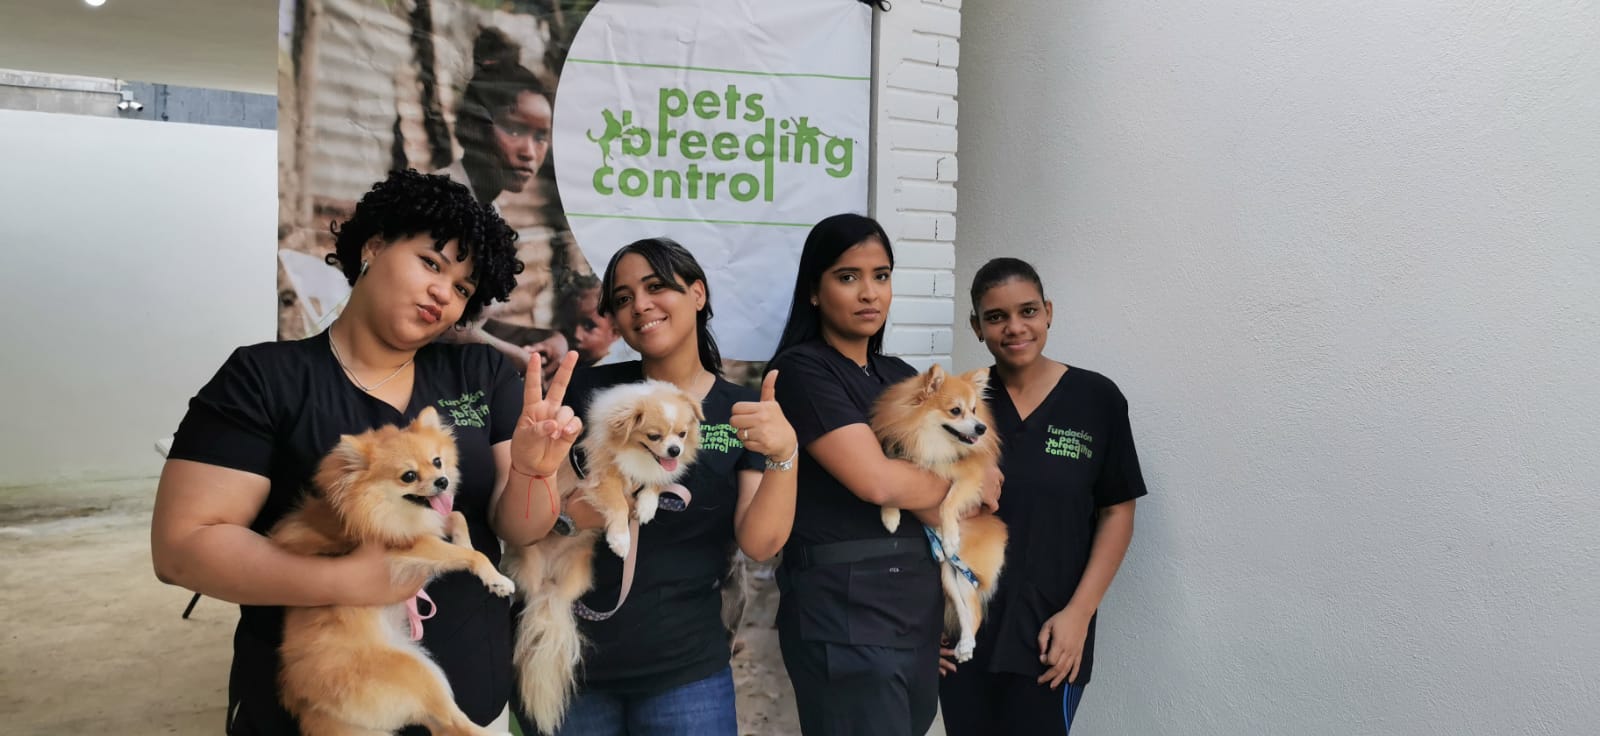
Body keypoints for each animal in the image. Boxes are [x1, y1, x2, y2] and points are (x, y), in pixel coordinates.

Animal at [269, 407, 515, 736]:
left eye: (437, 461)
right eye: (408, 476)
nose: (442, 481)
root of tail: (310, 705)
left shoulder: (433, 522)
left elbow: (456, 517)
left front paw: (463, 538)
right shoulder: (410, 547)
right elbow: (470, 553)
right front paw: (496, 579)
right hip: (416, 672)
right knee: (455, 724)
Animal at [506, 379, 703, 734]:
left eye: (681, 435)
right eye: (655, 436)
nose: (674, 451)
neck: (637, 457)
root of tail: (549, 587)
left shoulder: (651, 475)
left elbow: (653, 486)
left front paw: (648, 507)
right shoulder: (601, 476)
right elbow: (618, 503)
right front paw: (622, 538)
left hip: (576, 575)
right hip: (529, 566)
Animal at [871, 364, 1008, 663]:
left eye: (975, 410)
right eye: (956, 411)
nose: (981, 428)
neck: (934, 442)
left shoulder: (971, 478)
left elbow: (949, 502)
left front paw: (950, 534)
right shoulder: (901, 458)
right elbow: (891, 488)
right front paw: (890, 517)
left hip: (966, 568)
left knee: (974, 611)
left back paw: (966, 645)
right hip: (949, 573)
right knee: (965, 608)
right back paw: (966, 644)